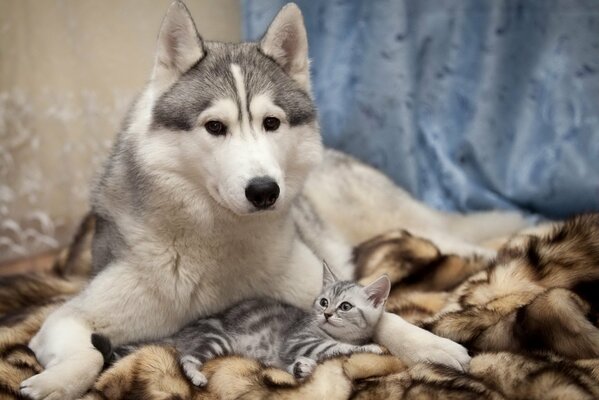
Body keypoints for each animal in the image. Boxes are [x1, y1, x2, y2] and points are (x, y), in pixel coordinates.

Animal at [111, 260, 394, 386]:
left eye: (345, 306)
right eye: (324, 302)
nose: (326, 314)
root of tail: (183, 331)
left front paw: (302, 368)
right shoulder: (298, 341)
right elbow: (335, 347)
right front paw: (369, 347)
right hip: (216, 337)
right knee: (186, 358)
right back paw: (196, 376)